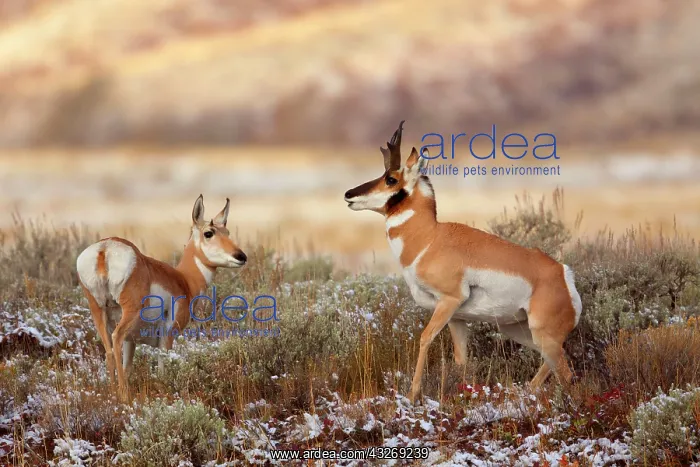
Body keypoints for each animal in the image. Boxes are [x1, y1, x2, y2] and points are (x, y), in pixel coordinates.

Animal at [76, 195, 247, 399]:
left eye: (227, 231)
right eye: (209, 233)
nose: (241, 256)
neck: (183, 280)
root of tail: (105, 248)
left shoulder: (131, 340)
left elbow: (127, 367)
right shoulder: (167, 336)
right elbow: (161, 369)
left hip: (98, 311)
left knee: (109, 350)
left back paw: (113, 392)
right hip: (129, 313)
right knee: (115, 338)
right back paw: (124, 395)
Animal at [343, 121, 582, 403]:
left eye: (391, 178)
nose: (349, 194)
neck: (430, 239)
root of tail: (563, 274)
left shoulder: (449, 301)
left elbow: (424, 338)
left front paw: (412, 395)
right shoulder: (457, 317)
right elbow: (461, 360)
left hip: (543, 335)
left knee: (566, 375)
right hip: (520, 331)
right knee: (554, 365)